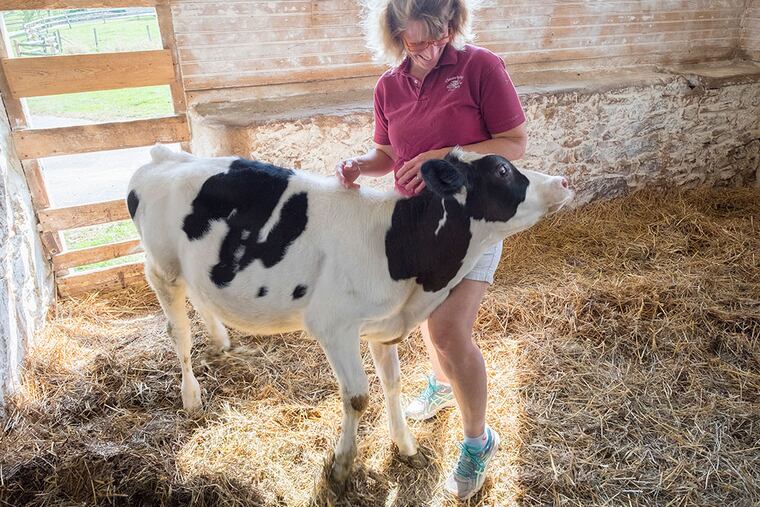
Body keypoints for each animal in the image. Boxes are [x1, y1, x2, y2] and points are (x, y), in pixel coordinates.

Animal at [126, 144, 573, 483]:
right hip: (162, 268)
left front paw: (405, 446)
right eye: (502, 169)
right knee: (178, 331)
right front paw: (341, 467)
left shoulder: (381, 326)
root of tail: (165, 155)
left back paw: (220, 341)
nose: (562, 182)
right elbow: (358, 396)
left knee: (202, 299)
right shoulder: (334, 326)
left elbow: (392, 383)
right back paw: (191, 396)